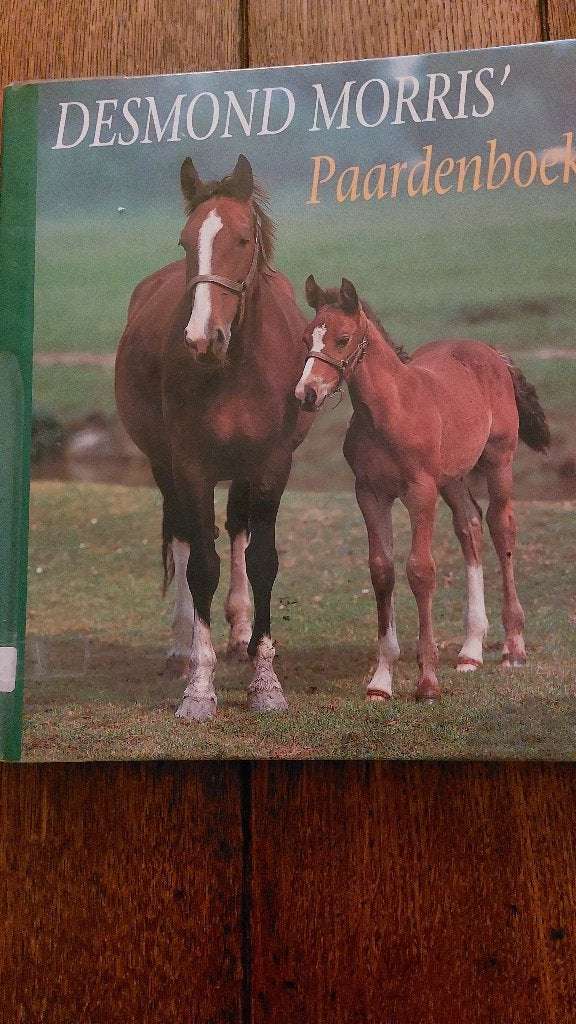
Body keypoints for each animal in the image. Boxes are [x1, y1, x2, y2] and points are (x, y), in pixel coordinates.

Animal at [115, 155, 314, 721]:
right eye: (185, 241)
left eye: (243, 239)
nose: (203, 338)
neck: (237, 369)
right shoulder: (192, 466)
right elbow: (201, 565)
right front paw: (199, 689)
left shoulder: (270, 465)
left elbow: (262, 561)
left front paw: (265, 681)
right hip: (165, 468)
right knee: (184, 540)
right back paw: (182, 648)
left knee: (241, 533)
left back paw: (241, 636)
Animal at [295, 276, 550, 703]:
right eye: (306, 338)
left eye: (343, 339)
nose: (306, 394)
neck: (389, 412)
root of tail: (493, 353)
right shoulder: (370, 494)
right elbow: (381, 570)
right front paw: (380, 681)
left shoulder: (420, 492)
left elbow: (421, 571)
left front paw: (427, 681)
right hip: (452, 477)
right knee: (470, 526)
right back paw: (470, 651)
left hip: (498, 461)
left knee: (501, 527)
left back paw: (513, 648)